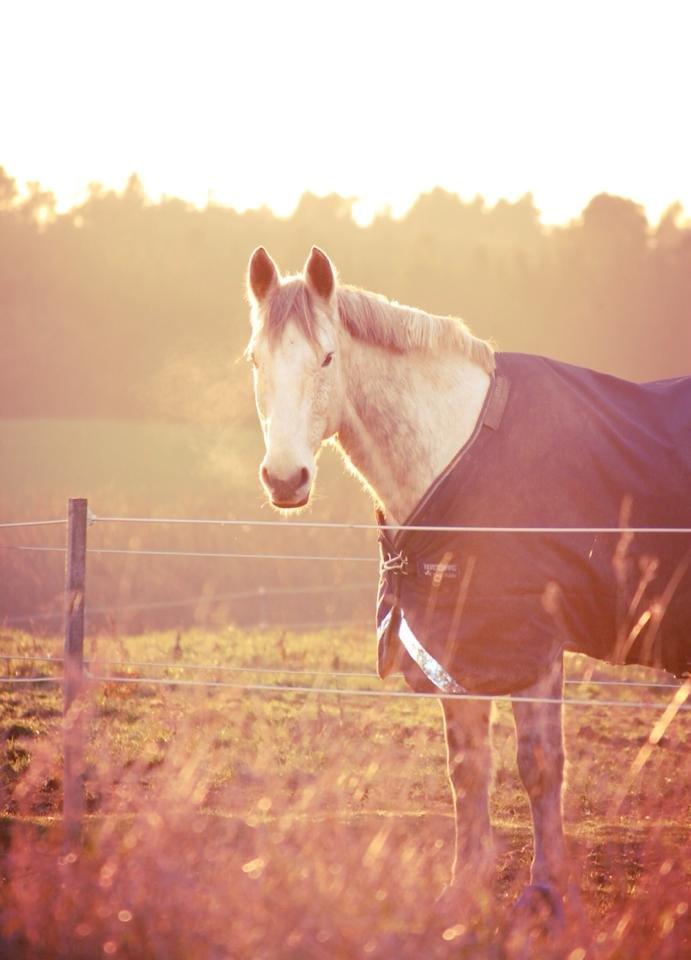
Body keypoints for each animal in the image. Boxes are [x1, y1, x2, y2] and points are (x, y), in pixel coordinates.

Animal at [243, 246, 691, 928]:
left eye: (326, 358)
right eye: (254, 360)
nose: (285, 479)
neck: (458, 451)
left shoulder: (531, 646)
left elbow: (539, 766)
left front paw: (547, 894)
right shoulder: (456, 640)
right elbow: (467, 767)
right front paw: (464, 889)